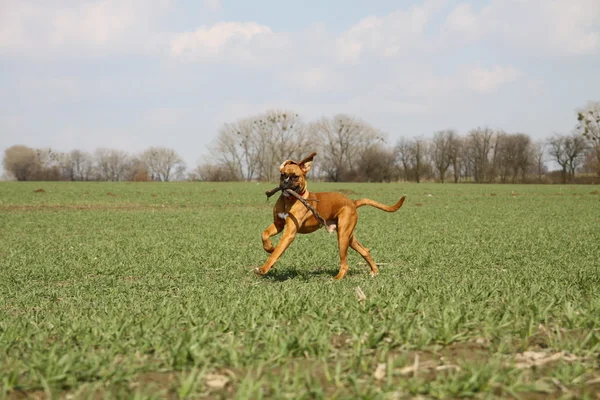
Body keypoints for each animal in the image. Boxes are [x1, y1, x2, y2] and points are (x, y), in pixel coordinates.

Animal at [255, 152, 406, 280]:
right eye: (282, 174)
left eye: (295, 176)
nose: (285, 182)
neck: (289, 200)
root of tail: (352, 202)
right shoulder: (278, 224)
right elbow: (264, 234)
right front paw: (269, 247)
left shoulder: (289, 233)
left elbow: (277, 252)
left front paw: (263, 268)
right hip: (349, 236)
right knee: (365, 251)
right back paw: (375, 271)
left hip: (343, 237)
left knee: (345, 264)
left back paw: (336, 279)